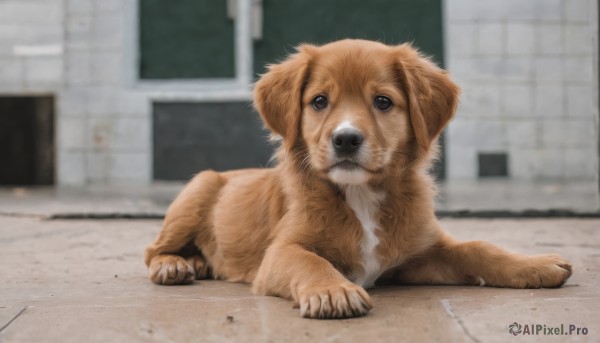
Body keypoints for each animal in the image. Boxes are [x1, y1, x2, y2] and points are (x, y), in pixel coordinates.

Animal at [144, 39, 572, 320]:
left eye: (383, 102)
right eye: (319, 101)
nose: (346, 139)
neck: (360, 196)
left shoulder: (420, 255)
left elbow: (479, 247)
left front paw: (533, 264)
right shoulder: (280, 251)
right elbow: (309, 261)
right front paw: (333, 290)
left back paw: (197, 262)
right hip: (197, 189)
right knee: (152, 250)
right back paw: (175, 266)